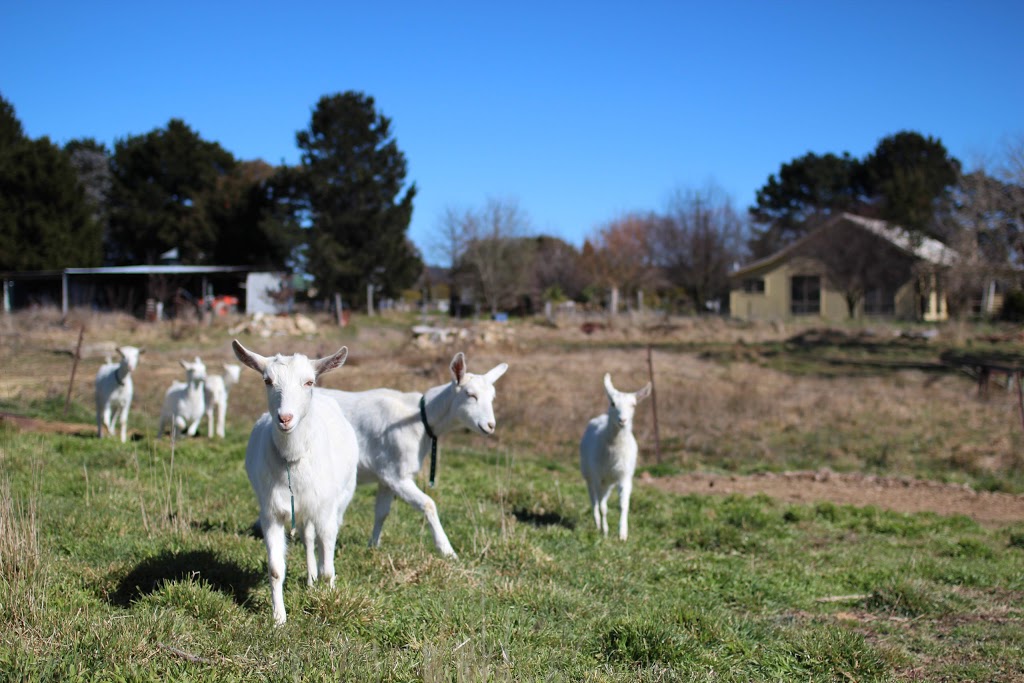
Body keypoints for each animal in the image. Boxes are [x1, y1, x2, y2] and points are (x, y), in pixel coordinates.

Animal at [234, 339, 362, 626]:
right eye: (267, 380)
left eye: (308, 382)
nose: (285, 418)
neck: (293, 460)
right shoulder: (270, 513)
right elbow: (275, 569)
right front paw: (278, 618)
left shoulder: (325, 509)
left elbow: (329, 564)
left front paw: (330, 598)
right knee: (307, 537)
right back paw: (311, 580)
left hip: (341, 497)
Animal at [319, 356, 507, 557]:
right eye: (470, 394)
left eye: (492, 397)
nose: (490, 425)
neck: (421, 417)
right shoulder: (397, 475)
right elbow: (428, 503)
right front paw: (448, 551)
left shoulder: (385, 475)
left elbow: (382, 512)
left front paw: (373, 546)